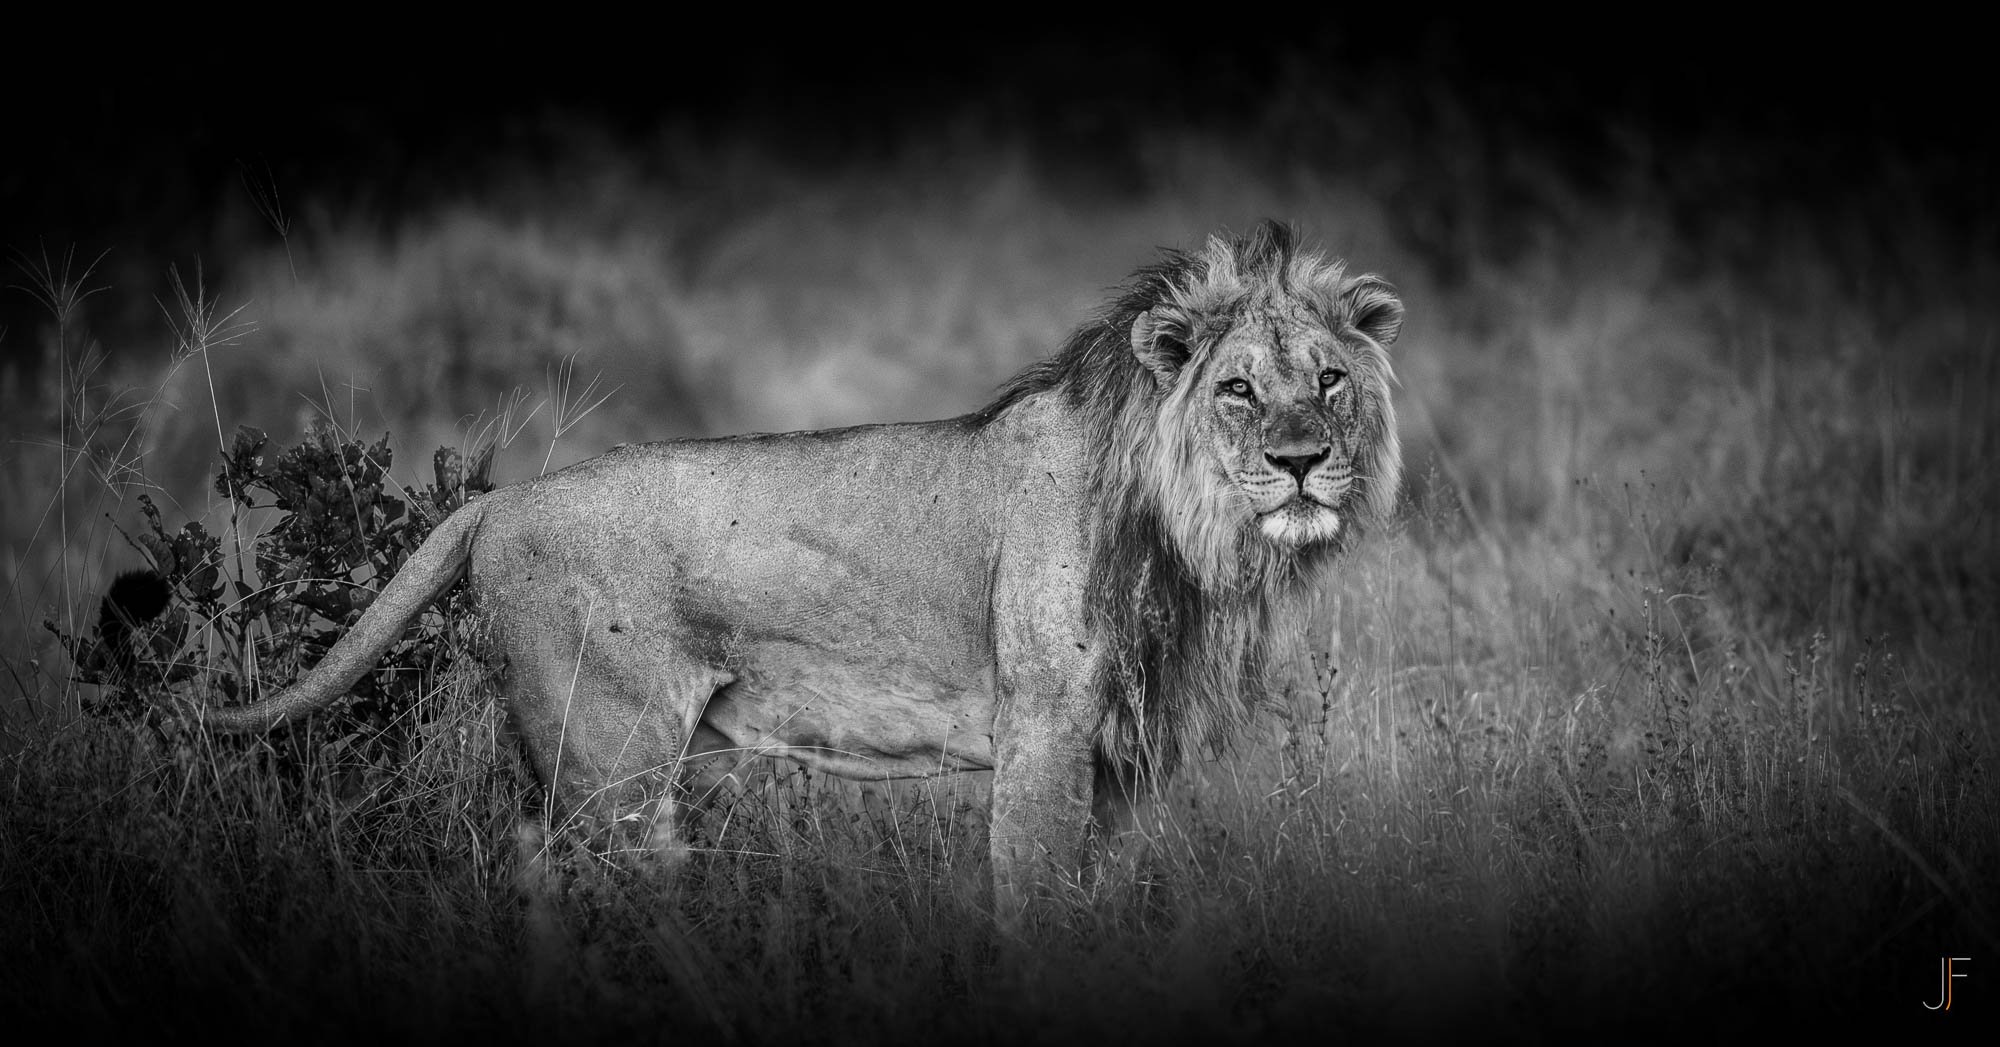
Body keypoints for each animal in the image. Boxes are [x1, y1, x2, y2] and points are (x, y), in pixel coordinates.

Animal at [197, 220, 1405, 921]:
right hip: (611, 751)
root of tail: (496, 501)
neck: (1194, 538)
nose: (1303, 461)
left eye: (1330, 380)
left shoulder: (1132, 752)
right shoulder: (1046, 723)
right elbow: (1032, 891)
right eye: (1237, 389)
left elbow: (1103, 892)